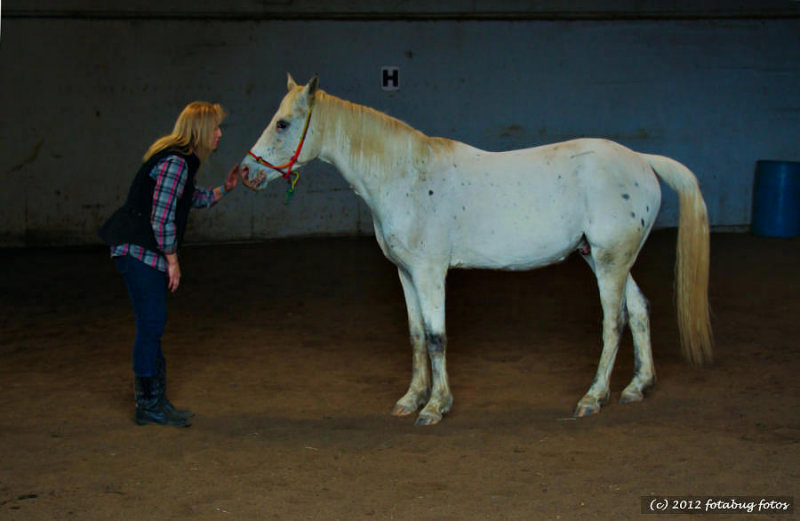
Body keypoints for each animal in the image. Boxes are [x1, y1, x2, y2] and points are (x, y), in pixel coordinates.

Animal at [242, 74, 712, 422]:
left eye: (282, 123)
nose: (246, 173)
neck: (406, 176)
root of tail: (642, 160)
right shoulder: (406, 273)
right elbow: (416, 335)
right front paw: (411, 399)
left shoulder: (430, 272)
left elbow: (436, 337)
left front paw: (435, 406)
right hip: (602, 259)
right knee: (639, 311)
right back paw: (638, 387)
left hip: (610, 260)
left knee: (614, 322)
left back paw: (593, 398)